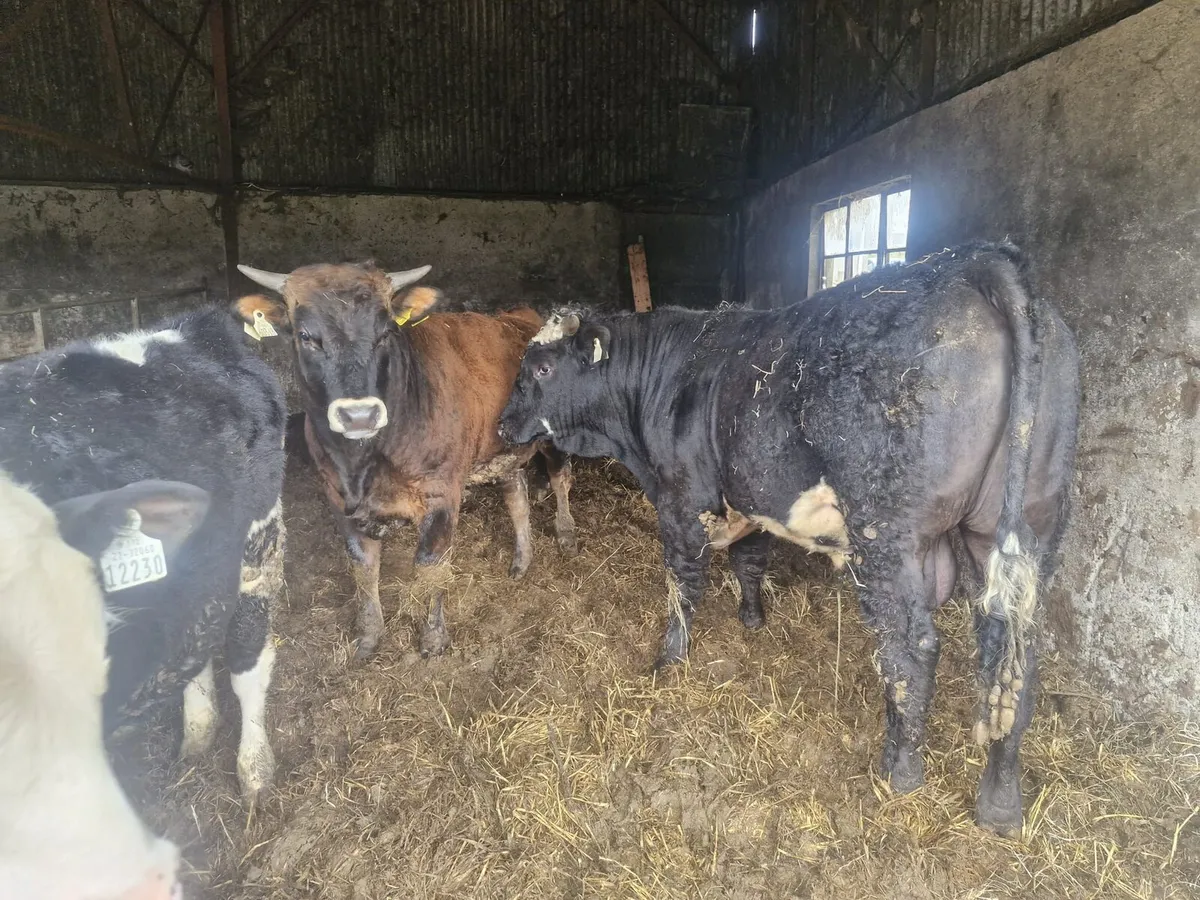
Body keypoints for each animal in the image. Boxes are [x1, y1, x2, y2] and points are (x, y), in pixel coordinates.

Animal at [234, 261, 577, 659]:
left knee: (560, 476)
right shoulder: (338, 498)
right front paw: (369, 635)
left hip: (556, 433)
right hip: (502, 451)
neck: (365, 464)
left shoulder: (442, 494)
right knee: (516, 495)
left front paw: (433, 638)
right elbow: (363, 566)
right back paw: (522, 559)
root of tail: (522, 314)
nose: (359, 415)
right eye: (305, 335)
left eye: (385, 333)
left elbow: (430, 566)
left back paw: (566, 532)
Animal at [498, 241, 1080, 833]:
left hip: (888, 534)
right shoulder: (748, 498)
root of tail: (978, 263)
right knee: (1014, 655)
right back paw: (1001, 802)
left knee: (910, 650)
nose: (503, 424)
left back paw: (899, 773)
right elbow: (750, 560)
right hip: (1021, 525)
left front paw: (669, 658)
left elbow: (682, 582)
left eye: (543, 367)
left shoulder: (681, 499)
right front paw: (752, 620)